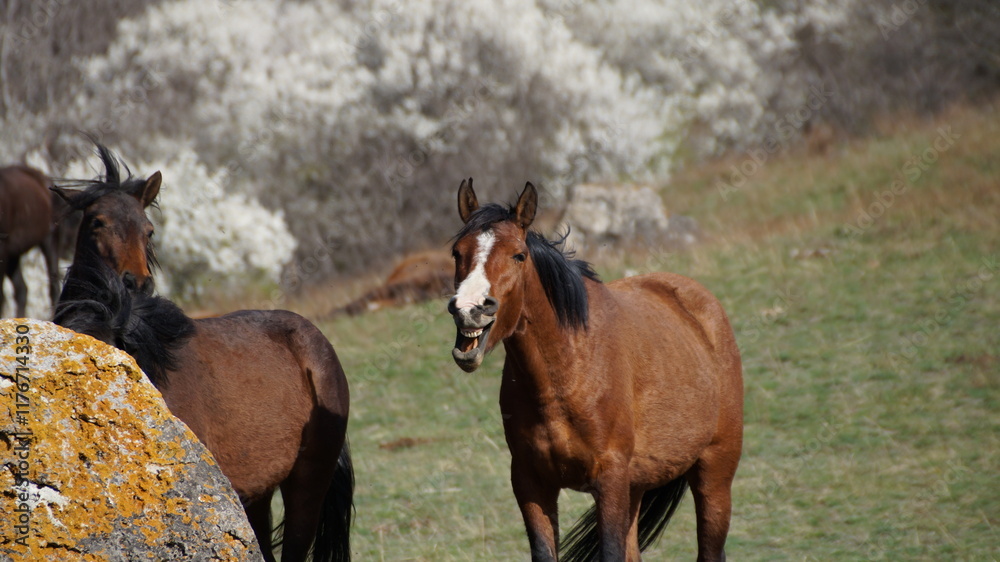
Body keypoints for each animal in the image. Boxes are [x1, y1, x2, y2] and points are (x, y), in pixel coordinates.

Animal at [51, 145, 354, 562]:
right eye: (97, 222)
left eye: (148, 229)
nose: (134, 282)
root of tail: (315, 340)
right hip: (256, 492)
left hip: (307, 483)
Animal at [446, 179, 743, 561]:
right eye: (457, 252)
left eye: (518, 255)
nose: (470, 310)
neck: (565, 373)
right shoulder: (531, 483)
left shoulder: (610, 480)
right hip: (637, 486)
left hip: (714, 473)